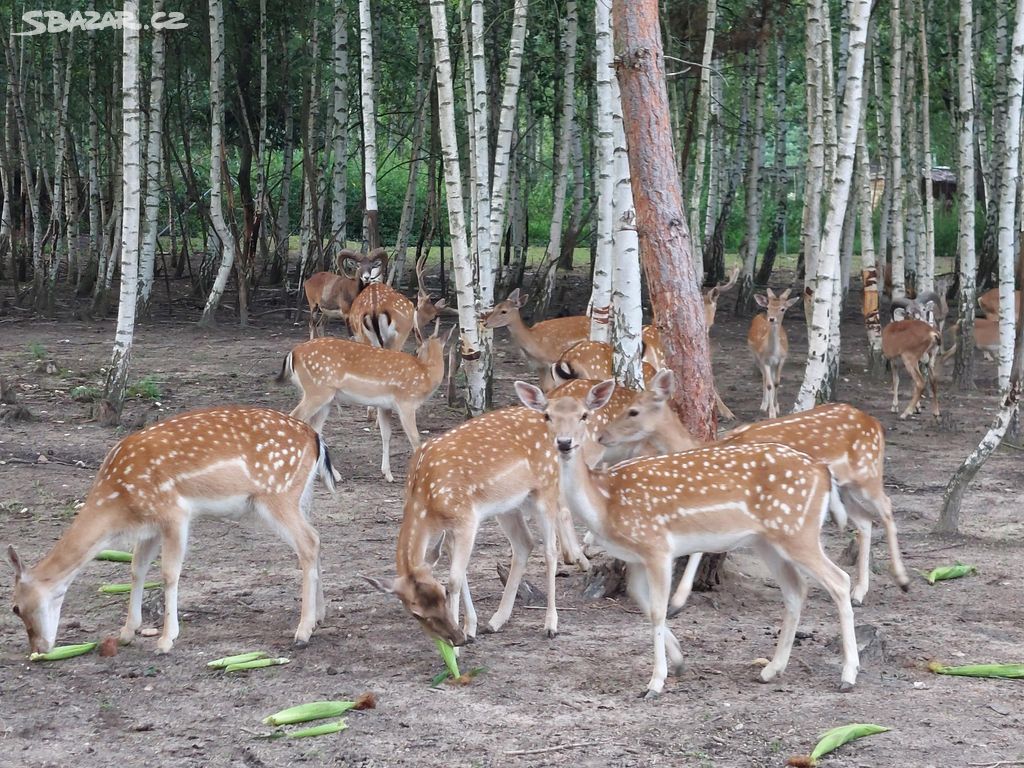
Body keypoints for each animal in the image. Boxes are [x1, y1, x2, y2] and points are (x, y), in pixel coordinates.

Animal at [7, 409, 335, 655]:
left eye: (15, 608)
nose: (38, 649)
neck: (118, 502)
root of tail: (315, 438)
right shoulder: (149, 526)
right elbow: (137, 568)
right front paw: (127, 632)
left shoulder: (174, 513)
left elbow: (169, 573)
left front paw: (166, 640)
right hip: (299, 496)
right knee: (317, 538)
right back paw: (319, 616)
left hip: (277, 494)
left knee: (308, 542)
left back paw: (302, 631)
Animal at [280, 319, 456, 481]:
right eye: (416, 350)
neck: (426, 374)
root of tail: (293, 353)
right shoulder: (406, 402)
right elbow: (416, 439)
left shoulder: (385, 406)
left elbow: (386, 435)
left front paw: (388, 474)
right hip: (317, 391)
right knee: (295, 416)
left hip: (325, 398)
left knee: (315, 427)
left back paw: (333, 475)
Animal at [516, 382, 860, 700]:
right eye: (547, 416)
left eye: (584, 415)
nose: (564, 443)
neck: (605, 502)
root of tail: (822, 471)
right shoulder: (636, 556)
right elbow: (642, 602)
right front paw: (679, 661)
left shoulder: (656, 545)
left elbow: (658, 609)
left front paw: (655, 683)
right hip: (769, 540)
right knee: (796, 590)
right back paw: (771, 670)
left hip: (798, 531)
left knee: (839, 580)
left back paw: (848, 675)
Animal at [598, 370, 909, 610]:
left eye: (633, 411)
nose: (602, 436)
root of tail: (875, 424)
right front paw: (679, 598)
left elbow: (702, 546)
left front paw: (678, 600)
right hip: (845, 487)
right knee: (865, 522)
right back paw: (859, 592)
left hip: (867, 473)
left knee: (887, 506)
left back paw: (902, 580)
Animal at [745, 288, 798, 421]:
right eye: (768, 307)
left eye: (783, 309)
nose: (772, 319)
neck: (773, 352)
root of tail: (760, 315)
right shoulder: (764, 360)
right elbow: (769, 384)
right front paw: (772, 413)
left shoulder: (782, 359)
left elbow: (777, 382)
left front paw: (777, 407)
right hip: (755, 357)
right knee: (764, 377)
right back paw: (764, 405)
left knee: (772, 379)